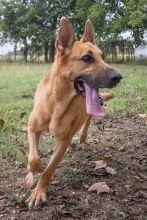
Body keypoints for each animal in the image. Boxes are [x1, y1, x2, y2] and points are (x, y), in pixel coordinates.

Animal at [25, 16, 121, 206]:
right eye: (87, 58)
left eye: (103, 57)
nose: (118, 77)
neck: (58, 102)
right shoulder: (32, 128)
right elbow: (34, 159)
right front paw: (33, 168)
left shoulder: (64, 141)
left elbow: (49, 170)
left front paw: (39, 190)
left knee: (89, 119)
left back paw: (83, 136)